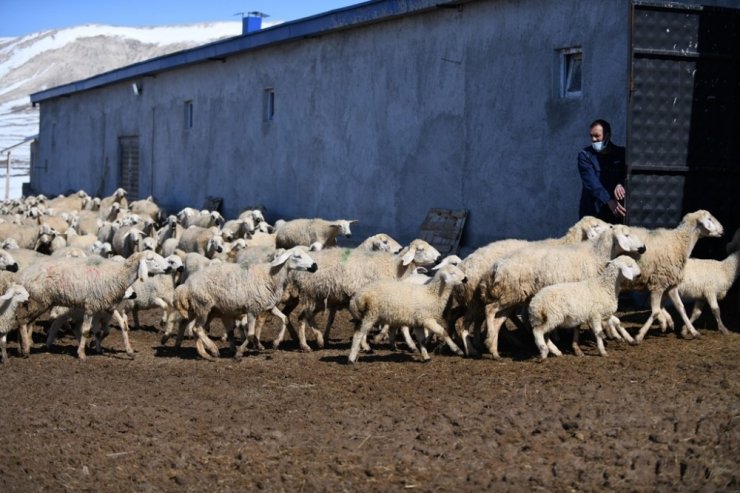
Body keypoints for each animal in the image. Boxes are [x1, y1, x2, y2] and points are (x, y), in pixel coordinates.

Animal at [19, 250, 173, 358]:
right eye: (150, 259)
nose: (169, 268)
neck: (117, 275)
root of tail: (25, 274)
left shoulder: (108, 307)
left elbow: (121, 326)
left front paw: (129, 351)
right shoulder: (90, 306)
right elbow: (86, 330)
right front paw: (82, 353)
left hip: (38, 302)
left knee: (27, 322)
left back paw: (24, 346)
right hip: (38, 301)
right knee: (23, 321)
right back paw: (25, 349)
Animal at [173, 248, 318, 360]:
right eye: (297, 256)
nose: (315, 266)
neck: (270, 276)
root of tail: (186, 285)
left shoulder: (269, 306)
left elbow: (285, 319)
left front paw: (276, 343)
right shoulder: (252, 309)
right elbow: (250, 334)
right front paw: (239, 352)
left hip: (202, 309)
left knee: (193, 327)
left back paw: (202, 353)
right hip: (203, 306)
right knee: (197, 329)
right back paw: (213, 350)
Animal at [476, 225, 644, 360]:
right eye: (627, 235)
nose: (643, 248)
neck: (595, 254)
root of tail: (496, 265)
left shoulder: (581, 299)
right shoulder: (585, 295)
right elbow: (595, 323)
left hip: (511, 295)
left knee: (498, 320)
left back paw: (494, 350)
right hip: (510, 294)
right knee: (489, 310)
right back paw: (490, 339)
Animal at [628, 209, 724, 344]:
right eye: (709, 219)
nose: (723, 230)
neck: (679, 242)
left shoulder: (671, 284)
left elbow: (680, 307)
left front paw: (693, 331)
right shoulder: (659, 282)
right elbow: (655, 311)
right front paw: (640, 335)